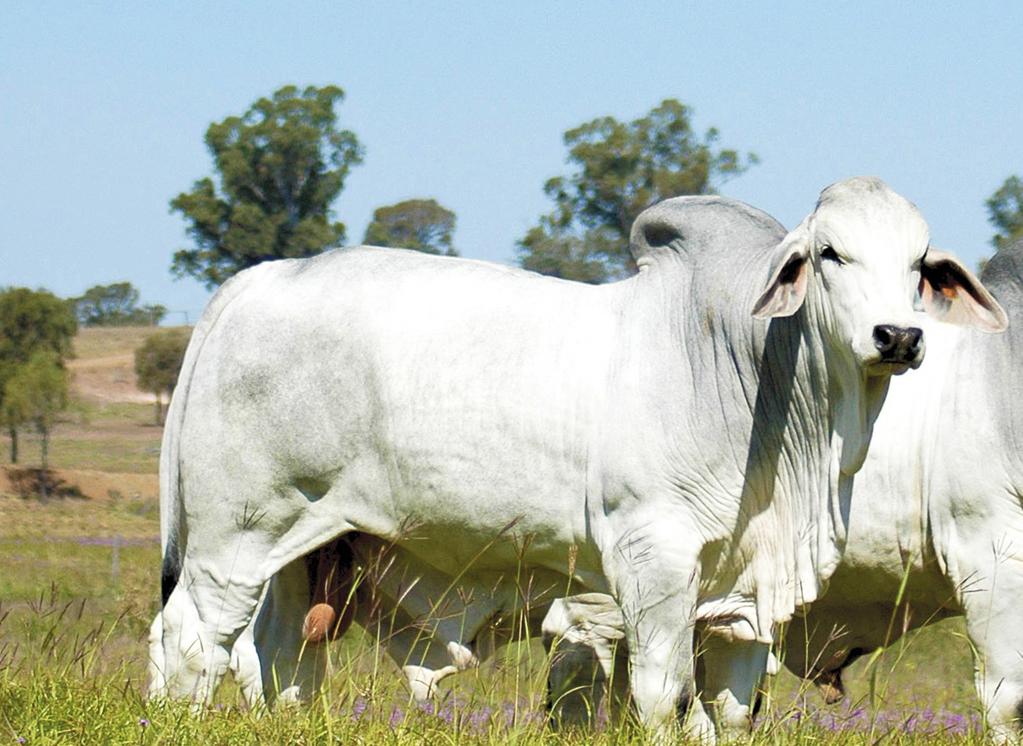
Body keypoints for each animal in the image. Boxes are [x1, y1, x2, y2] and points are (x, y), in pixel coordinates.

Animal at [148, 176, 1002, 740]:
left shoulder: (734, 597)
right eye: (830, 254)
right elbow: (663, 698)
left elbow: (724, 708)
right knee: (189, 642)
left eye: (918, 264)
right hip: (235, 536)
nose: (898, 336)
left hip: (306, 550)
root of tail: (257, 279)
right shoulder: (651, 563)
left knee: (280, 661)